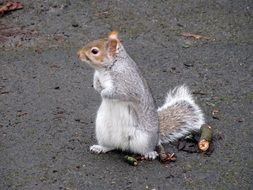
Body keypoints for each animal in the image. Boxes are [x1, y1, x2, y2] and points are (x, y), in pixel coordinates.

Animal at [76, 31, 205, 160]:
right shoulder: (98, 75)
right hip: (103, 132)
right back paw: (100, 148)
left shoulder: (128, 83)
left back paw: (149, 153)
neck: (107, 68)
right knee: (110, 146)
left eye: (94, 51)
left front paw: (104, 93)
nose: (79, 54)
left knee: (144, 149)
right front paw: (98, 87)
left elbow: (120, 93)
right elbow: (96, 83)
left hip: (144, 139)